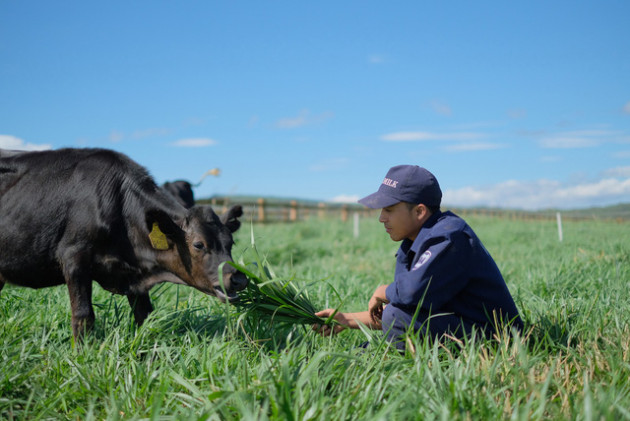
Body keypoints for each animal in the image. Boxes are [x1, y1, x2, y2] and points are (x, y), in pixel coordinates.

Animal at [0, 146, 249, 340]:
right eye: (198, 244)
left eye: (230, 243)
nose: (238, 278)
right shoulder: (73, 258)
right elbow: (83, 316)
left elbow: (145, 316)